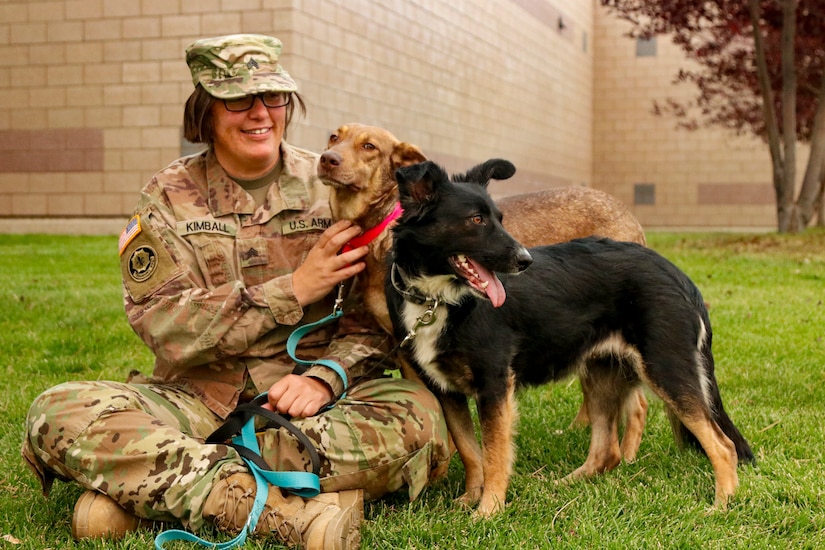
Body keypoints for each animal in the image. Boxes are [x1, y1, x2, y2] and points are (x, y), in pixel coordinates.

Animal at [322, 124, 652, 470]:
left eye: (369, 146)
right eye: (334, 137)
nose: (327, 159)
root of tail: (625, 211)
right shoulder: (407, 352)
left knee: (638, 403)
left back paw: (629, 456)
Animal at [386, 158, 752, 516]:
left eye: (499, 219)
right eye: (475, 220)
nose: (525, 260)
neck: (438, 299)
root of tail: (679, 275)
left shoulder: (494, 386)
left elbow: (493, 455)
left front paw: (488, 510)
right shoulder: (447, 391)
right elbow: (470, 450)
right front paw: (469, 499)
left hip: (666, 369)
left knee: (723, 445)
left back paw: (721, 505)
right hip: (602, 373)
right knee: (607, 452)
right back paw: (566, 483)